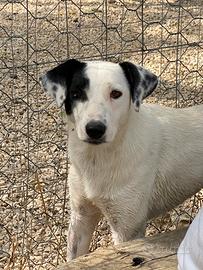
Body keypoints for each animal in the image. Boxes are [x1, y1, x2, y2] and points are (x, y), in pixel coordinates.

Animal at [39, 59, 203, 262]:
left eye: (116, 94)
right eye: (76, 93)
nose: (95, 129)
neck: (97, 161)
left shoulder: (127, 228)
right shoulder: (81, 217)